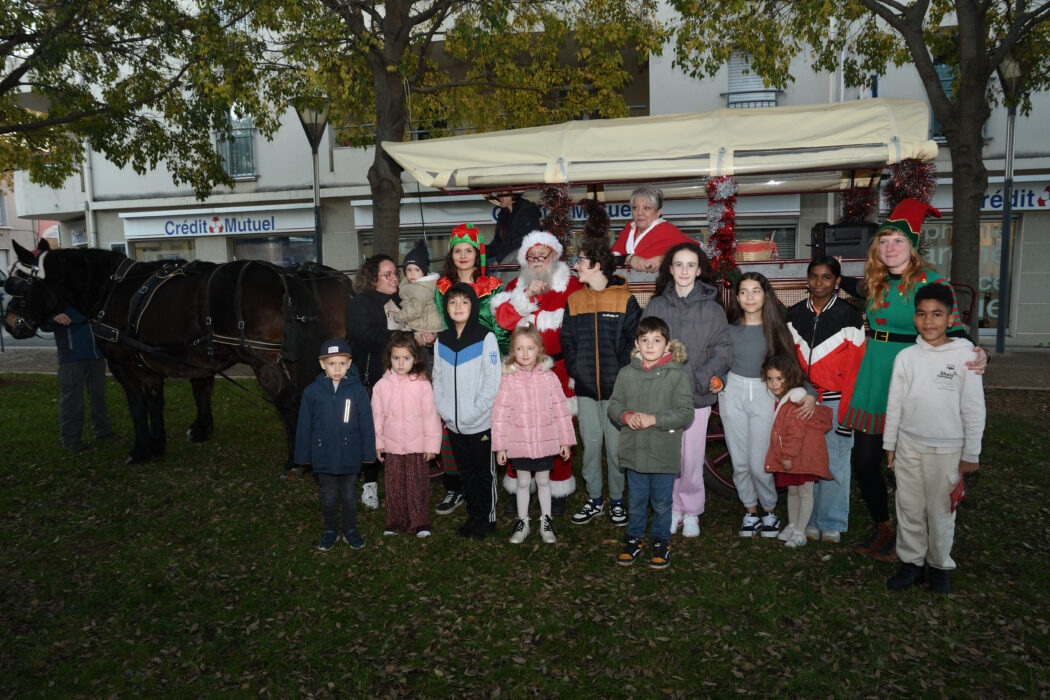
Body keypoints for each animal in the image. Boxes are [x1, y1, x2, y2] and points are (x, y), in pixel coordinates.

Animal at [5, 238, 348, 474]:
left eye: (16, 284)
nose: (9, 323)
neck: (112, 290)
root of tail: (283, 276)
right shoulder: (160, 363)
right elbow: (162, 401)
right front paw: (161, 442)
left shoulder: (123, 365)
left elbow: (137, 406)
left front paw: (141, 449)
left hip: (264, 361)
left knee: (289, 401)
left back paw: (295, 461)